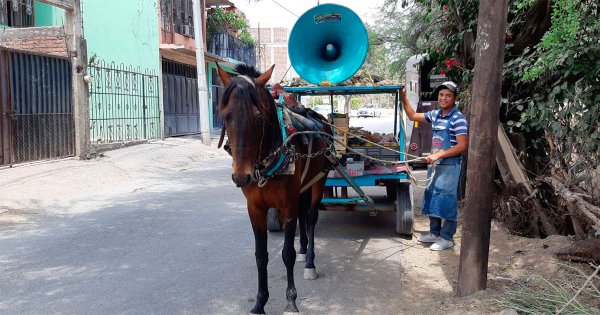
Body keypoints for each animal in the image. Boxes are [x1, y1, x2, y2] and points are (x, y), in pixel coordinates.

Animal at [216, 63, 330, 314]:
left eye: (258, 117)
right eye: (224, 115)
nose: (241, 176)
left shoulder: (287, 205)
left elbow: (287, 254)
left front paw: (291, 301)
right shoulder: (255, 208)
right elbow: (261, 255)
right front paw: (260, 303)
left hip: (319, 181)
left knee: (310, 217)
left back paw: (309, 261)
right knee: (303, 215)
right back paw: (304, 250)